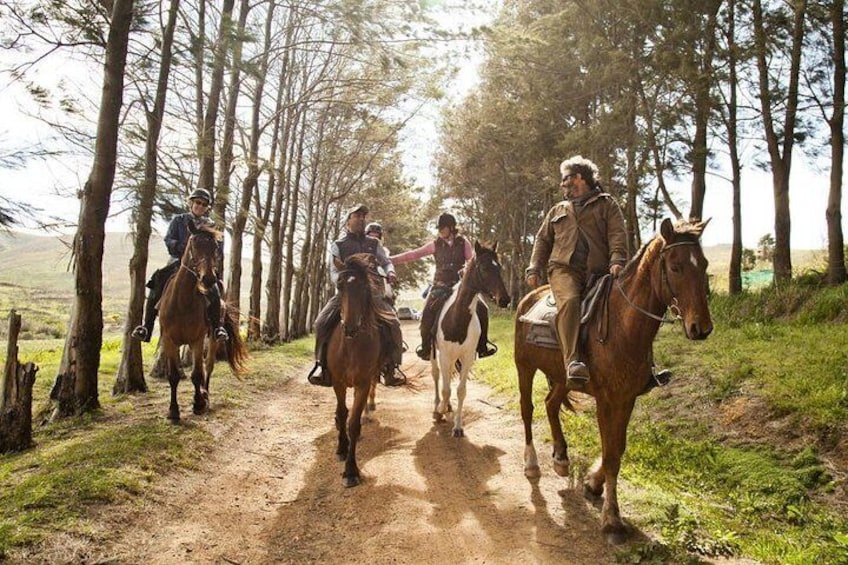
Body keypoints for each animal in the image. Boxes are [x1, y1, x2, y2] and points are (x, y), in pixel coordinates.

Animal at [157, 223, 247, 420]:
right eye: (194, 244)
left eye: (215, 248)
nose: (209, 279)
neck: (182, 302)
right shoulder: (169, 340)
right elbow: (173, 376)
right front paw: (173, 411)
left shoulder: (196, 340)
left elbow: (197, 374)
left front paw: (198, 403)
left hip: (212, 337)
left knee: (208, 366)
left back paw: (205, 395)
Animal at [430, 240, 510, 438]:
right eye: (484, 267)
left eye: (499, 267)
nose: (505, 300)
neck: (457, 320)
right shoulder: (444, 355)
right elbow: (445, 389)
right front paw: (440, 411)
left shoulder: (467, 357)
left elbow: (460, 391)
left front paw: (458, 427)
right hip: (434, 354)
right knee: (436, 376)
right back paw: (437, 406)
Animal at [512, 218, 712, 544]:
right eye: (675, 266)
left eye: (704, 264)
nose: (701, 327)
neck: (623, 325)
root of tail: (528, 298)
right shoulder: (606, 400)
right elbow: (610, 455)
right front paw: (611, 520)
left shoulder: (626, 398)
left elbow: (618, 449)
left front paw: (593, 484)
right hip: (525, 367)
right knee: (527, 409)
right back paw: (532, 463)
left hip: (562, 377)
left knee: (551, 405)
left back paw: (561, 458)